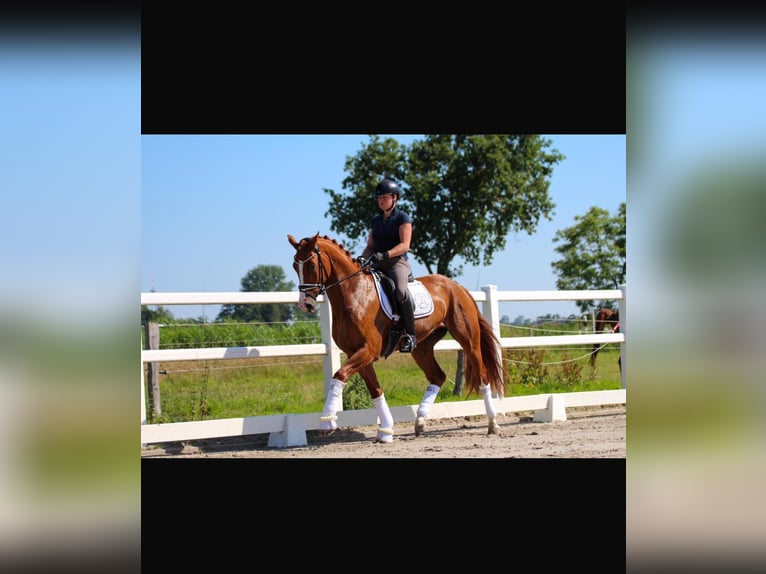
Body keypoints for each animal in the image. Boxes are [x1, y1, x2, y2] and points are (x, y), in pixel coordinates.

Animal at [284, 234, 508, 446]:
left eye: (312, 265)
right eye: (295, 265)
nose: (306, 305)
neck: (354, 294)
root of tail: (456, 286)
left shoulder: (368, 350)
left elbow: (339, 375)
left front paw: (327, 422)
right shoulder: (356, 353)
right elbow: (375, 390)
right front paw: (385, 431)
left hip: (468, 339)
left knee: (482, 374)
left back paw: (493, 423)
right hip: (421, 348)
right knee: (437, 376)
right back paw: (420, 422)